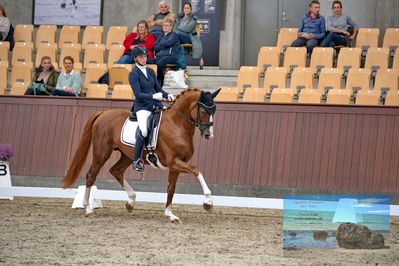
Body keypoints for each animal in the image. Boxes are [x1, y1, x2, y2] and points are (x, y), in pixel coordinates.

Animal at [62, 88, 220, 222]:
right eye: (204, 111)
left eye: (214, 110)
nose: (208, 135)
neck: (177, 125)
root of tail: (103, 114)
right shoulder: (174, 162)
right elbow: (197, 170)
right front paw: (208, 202)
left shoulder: (176, 165)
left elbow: (171, 188)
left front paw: (170, 214)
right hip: (101, 153)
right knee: (91, 175)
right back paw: (88, 209)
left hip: (127, 155)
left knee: (116, 171)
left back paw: (131, 202)